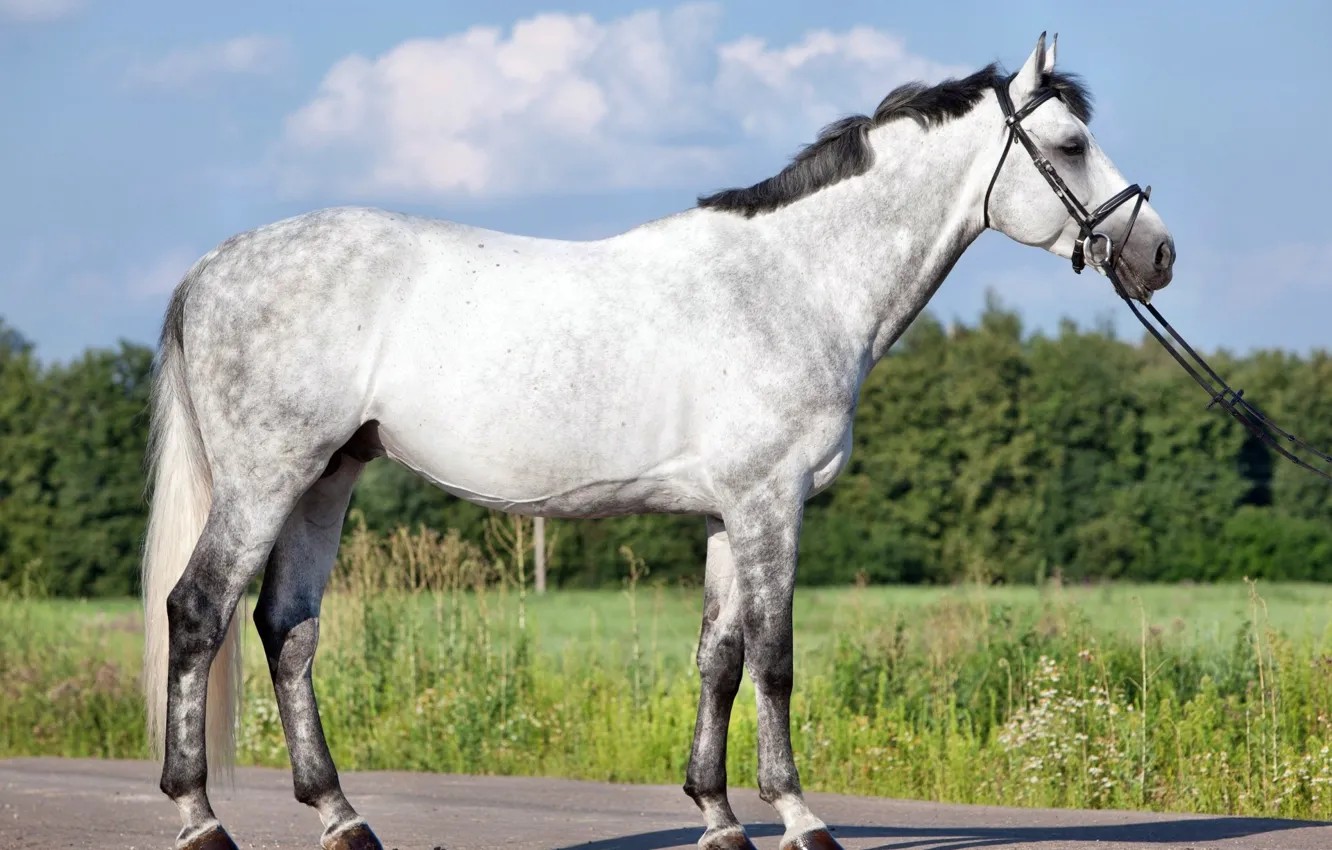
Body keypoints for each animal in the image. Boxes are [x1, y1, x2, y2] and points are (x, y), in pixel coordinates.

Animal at [141, 32, 1174, 850]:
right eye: (1072, 144)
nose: (1157, 254)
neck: (793, 282)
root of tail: (210, 267)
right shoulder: (770, 504)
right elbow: (775, 658)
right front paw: (801, 818)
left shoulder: (727, 514)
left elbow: (718, 660)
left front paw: (717, 818)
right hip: (265, 478)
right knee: (198, 611)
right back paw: (199, 818)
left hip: (326, 478)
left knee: (288, 631)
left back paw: (343, 818)